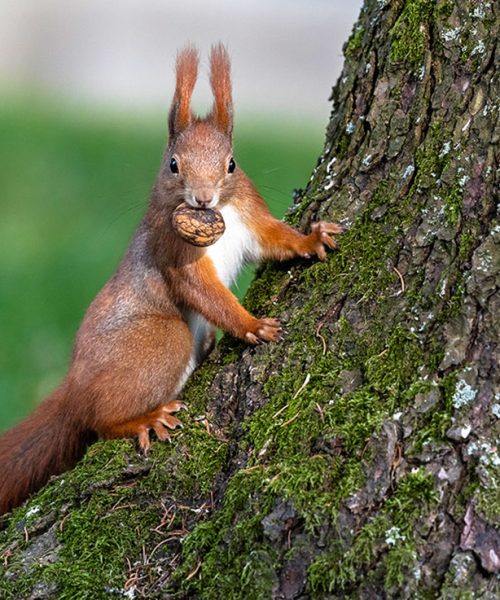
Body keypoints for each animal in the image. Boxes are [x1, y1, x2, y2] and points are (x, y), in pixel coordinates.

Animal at [0, 45, 342, 516]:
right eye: (173, 164)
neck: (219, 215)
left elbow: (275, 240)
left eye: (231, 164)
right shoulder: (173, 249)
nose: (203, 198)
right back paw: (143, 419)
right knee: (100, 422)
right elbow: (203, 291)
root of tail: (74, 389)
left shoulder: (251, 214)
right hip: (161, 341)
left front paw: (312, 238)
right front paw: (251, 325)